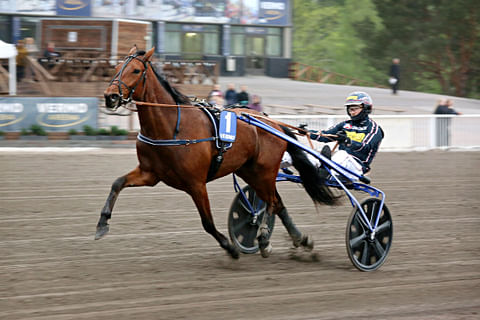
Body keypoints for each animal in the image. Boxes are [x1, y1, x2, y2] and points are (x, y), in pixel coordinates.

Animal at [95, 46, 336, 258]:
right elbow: (117, 183)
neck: (172, 128)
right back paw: (299, 239)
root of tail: (273, 123)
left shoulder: (196, 183)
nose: (110, 96)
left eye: (136, 70)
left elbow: (208, 222)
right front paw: (102, 224)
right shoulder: (150, 173)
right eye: (117, 67)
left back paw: (264, 238)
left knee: (272, 202)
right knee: (277, 203)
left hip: (265, 171)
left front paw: (230, 248)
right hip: (250, 171)